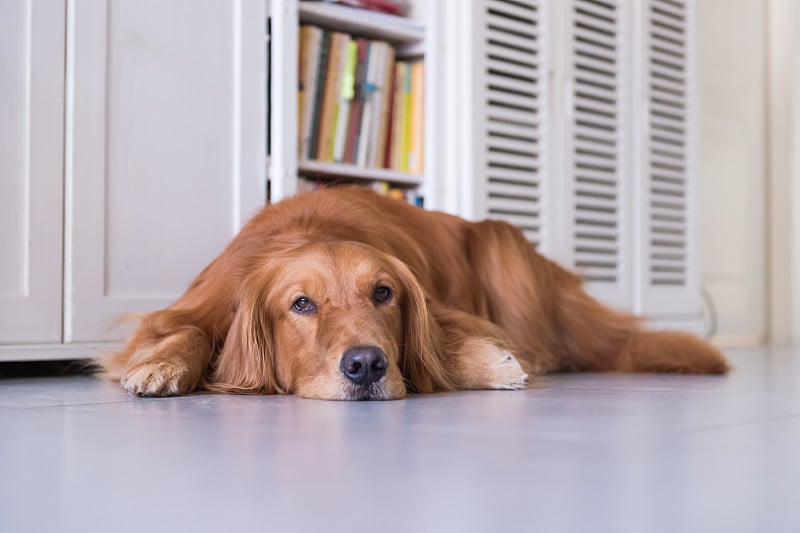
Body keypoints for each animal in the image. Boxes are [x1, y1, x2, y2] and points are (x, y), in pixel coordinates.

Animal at [97, 187, 728, 400]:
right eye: (301, 304)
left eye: (384, 294)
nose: (366, 366)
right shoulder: (198, 303)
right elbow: (187, 330)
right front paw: (163, 365)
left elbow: (446, 340)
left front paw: (488, 364)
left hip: (499, 239)